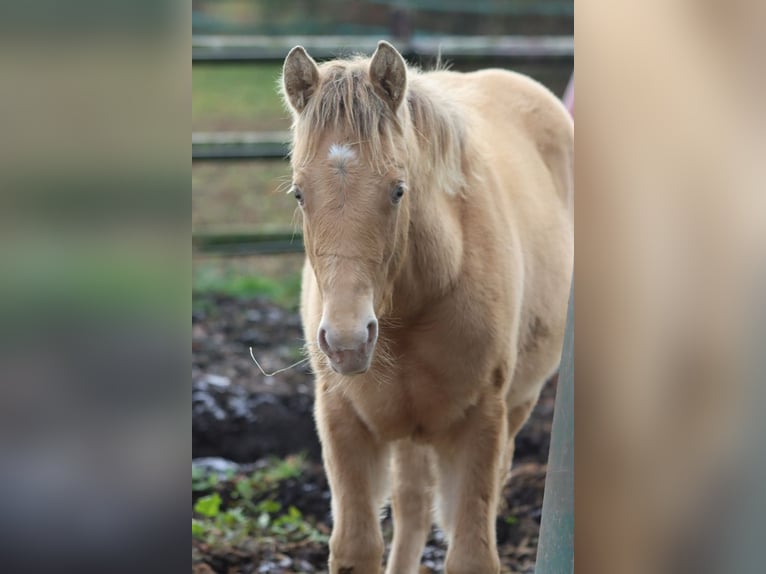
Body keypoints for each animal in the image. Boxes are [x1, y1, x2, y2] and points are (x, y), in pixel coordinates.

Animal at [280, 41, 573, 574]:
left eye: (398, 189)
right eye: (299, 193)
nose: (348, 342)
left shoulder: (481, 421)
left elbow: (471, 551)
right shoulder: (343, 421)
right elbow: (357, 548)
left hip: (516, 405)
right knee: (412, 505)